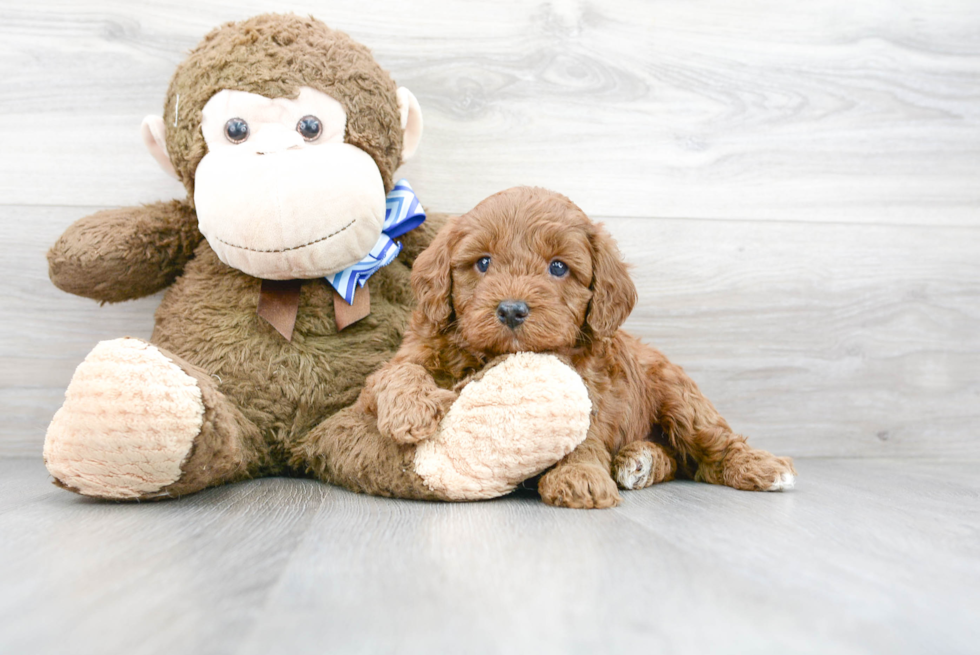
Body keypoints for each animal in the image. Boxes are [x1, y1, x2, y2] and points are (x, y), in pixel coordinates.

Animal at [360, 187, 796, 510]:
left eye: (558, 267)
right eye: (483, 263)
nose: (512, 309)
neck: (493, 354)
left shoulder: (590, 388)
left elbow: (582, 432)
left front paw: (579, 475)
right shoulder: (402, 362)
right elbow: (397, 372)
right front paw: (411, 409)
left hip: (680, 397)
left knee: (713, 444)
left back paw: (763, 466)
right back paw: (641, 461)